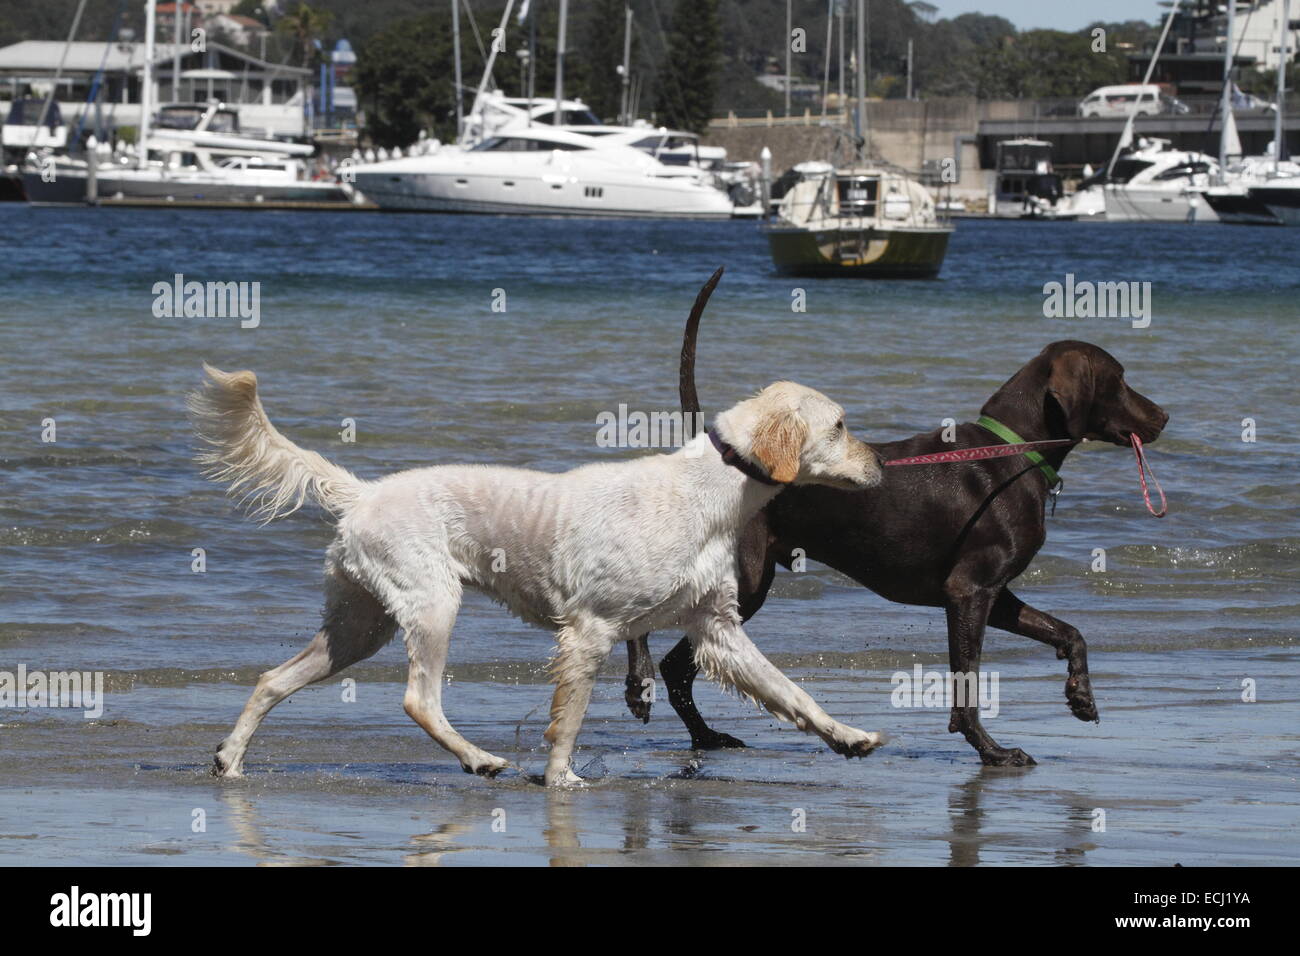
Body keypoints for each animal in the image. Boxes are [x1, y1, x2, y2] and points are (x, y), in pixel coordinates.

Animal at [189, 366, 883, 785]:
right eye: (841, 425)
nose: (880, 465)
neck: (709, 494)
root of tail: (363, 493)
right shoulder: (590, 631)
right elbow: (567, 721)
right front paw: (560, 779)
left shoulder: (718, 630)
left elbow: (794, 693)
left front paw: (847, 736)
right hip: (431, 605)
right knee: (419, 699)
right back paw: (478, 758)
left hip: (359, 626)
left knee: (272, 680)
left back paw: (230, 759)